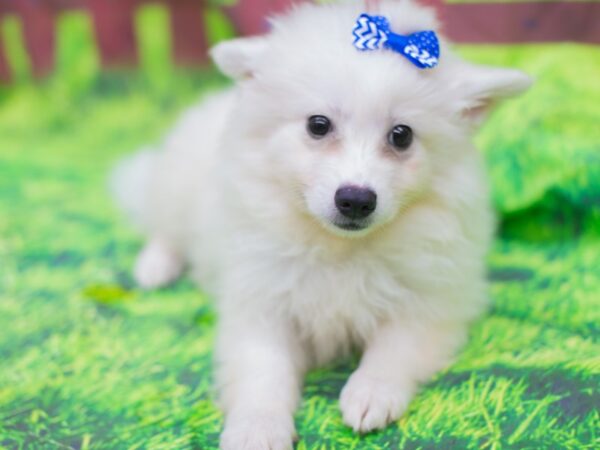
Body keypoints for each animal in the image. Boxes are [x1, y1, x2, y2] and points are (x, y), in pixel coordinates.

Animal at [111, 1, 528, 448]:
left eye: (401, 135)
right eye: (318, 125)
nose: (356, 200)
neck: (337, 247)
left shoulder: (432, 302)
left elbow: (395, 348)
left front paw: (370, 393)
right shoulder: (259, 301)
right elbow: (264, 370)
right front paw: (257, 427)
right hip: (174, 187)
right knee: (163, 228)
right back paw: (154, 268)